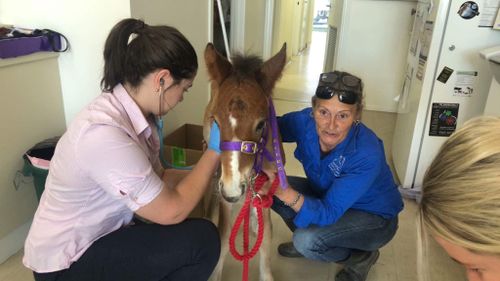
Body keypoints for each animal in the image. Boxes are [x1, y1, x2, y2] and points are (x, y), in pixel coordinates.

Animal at [203, 42, 288, 280]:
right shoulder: (223, 188)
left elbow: (266, 236)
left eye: (261, 124)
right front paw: (215, 274)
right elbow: (223, 236)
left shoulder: (267, 187)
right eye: (216, 122)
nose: (232, 190)